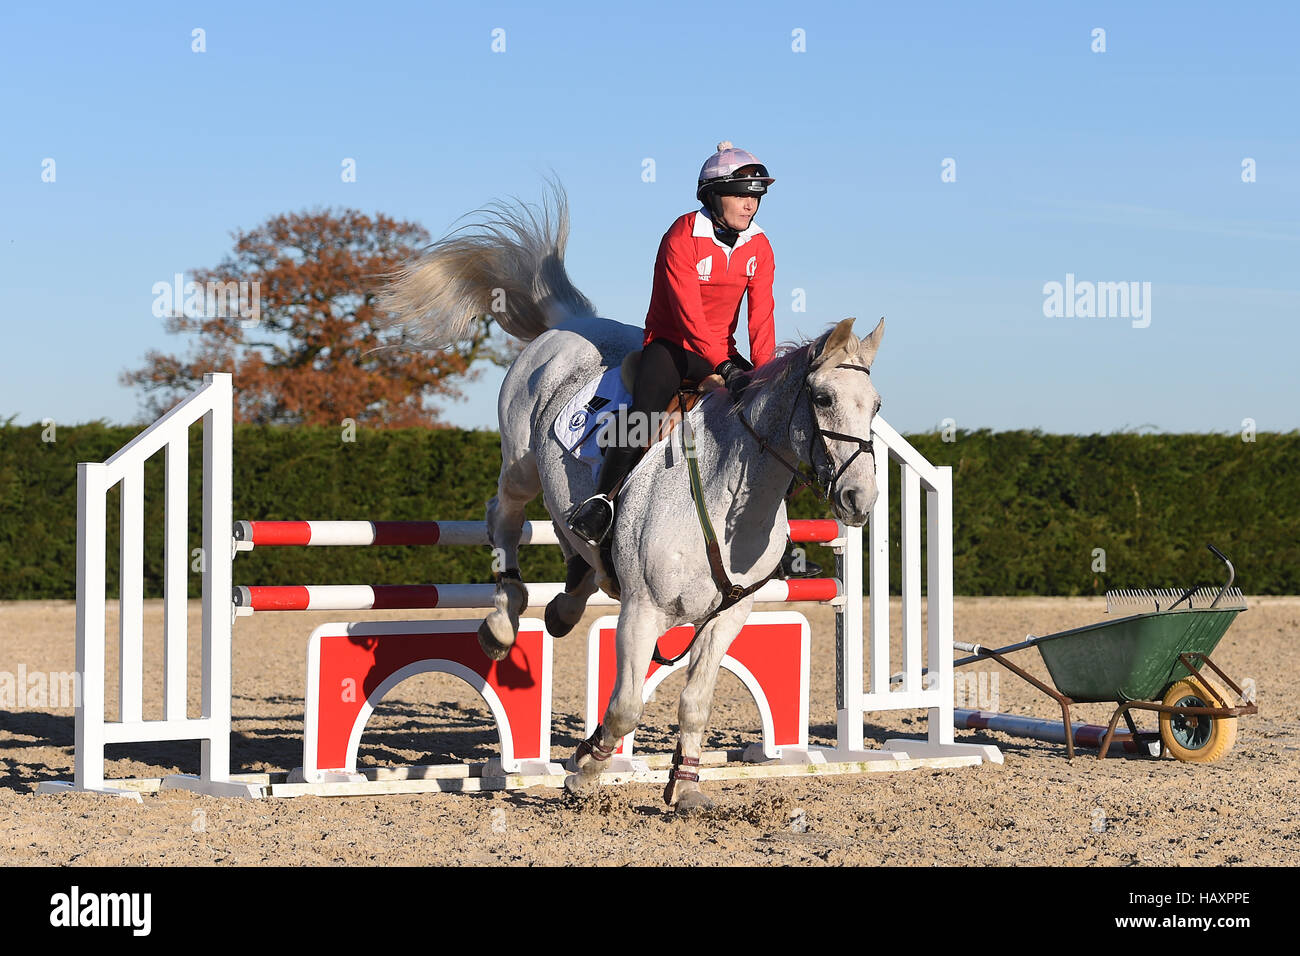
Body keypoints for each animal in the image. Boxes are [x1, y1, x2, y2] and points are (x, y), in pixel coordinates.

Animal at [379, 187, 883, 806]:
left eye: (876, 406)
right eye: (823, 397)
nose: (860, 498)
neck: (730, 503)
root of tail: (572, 322)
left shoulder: (728, 617)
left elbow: (695, 704)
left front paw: (684, 788)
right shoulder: (643, 611)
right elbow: (624, 707)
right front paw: (585, 767)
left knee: (575, 539)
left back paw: (567, 602)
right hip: (520, 464)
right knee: (505, 518)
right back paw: (502, 621)